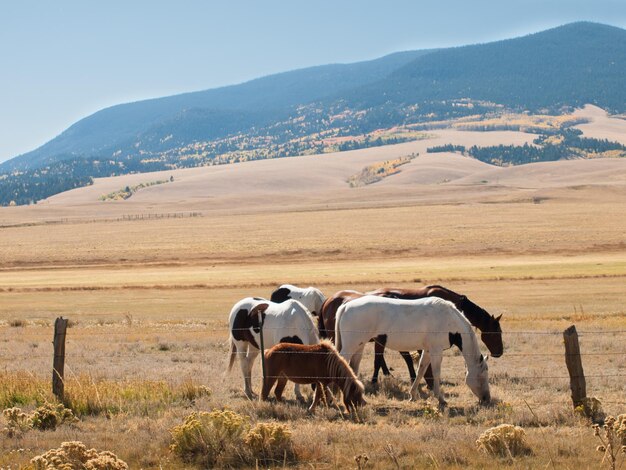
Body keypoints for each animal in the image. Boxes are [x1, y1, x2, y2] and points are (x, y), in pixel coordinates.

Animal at [334, 296, 490, 406]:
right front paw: (440, 398)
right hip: (350, 346)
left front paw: (412, 395)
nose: (487, 399)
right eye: (482, 376)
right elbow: (436, 373)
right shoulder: (436, 350)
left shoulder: (427, 350)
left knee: (352, 367)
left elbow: (421, 370)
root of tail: (346, 305)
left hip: (358, 347)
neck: (448, 320)